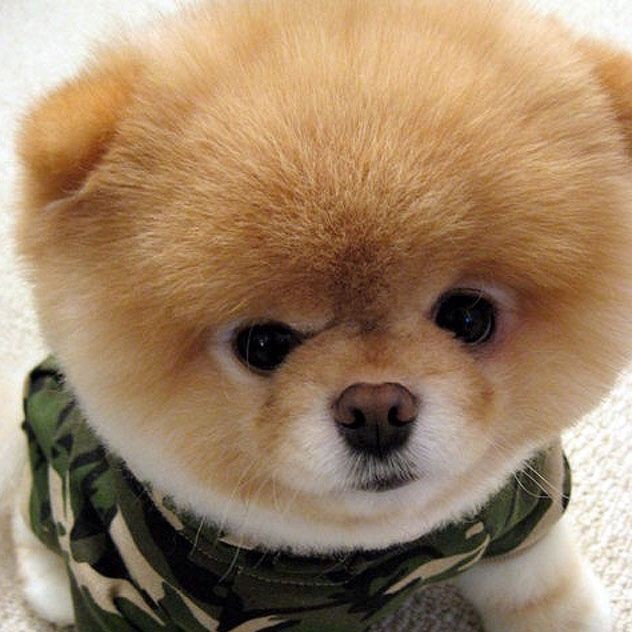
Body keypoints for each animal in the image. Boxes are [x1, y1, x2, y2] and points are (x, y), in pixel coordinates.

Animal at [9, 0, 632, 630]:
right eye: (263, 345)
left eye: (467, 318)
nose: (377, 407)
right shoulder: (128, 587)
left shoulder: (520, 517)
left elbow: (537, 584)